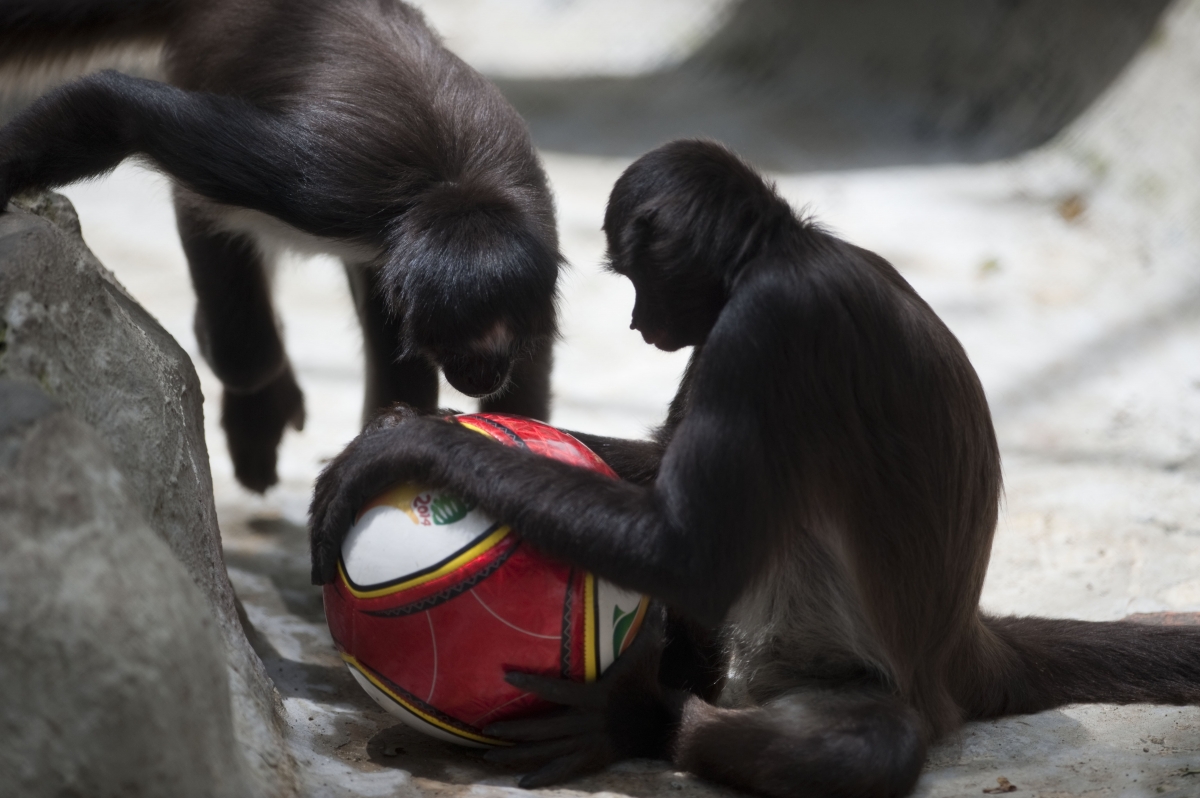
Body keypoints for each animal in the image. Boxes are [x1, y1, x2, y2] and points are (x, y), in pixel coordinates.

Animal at [0, 0, 562, 492]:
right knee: (239, 336)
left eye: (500, 349)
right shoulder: (324, 186)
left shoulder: (537, 236)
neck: (454, 184)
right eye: (460, 349)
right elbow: (118, 111)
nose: (482, 379)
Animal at [308, 139, 1200, 798]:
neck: (790, 249)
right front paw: (408, 429)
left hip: (842, 674)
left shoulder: (764, 327)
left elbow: (688, 555)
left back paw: (636, 715)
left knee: (863, 746)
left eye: (634, 275)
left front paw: (406, 447)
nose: (636, 321)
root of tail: (963, 651)